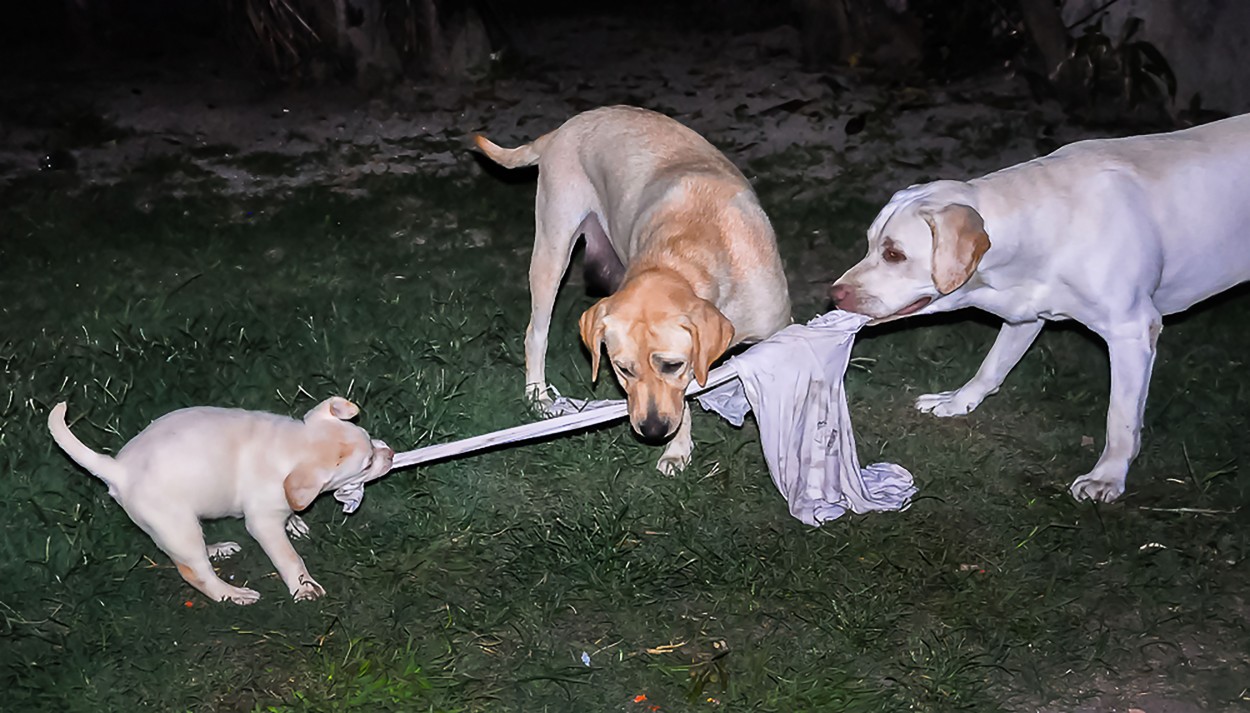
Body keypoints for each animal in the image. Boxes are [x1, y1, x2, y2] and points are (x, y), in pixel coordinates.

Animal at [47, 397, 390, 602]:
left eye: (369, 439)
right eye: (367, 463)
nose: (390, 454)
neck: (292, 445)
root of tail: (118, 470)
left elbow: (292, 512)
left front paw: (295, 522)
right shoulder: (263, 524)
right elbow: (290, 559)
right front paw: (304, 587)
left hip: (183, 527)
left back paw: (217, 549)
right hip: (177, 528)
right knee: (196, 574)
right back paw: (234, 594)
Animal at [477, 105, 790, 472]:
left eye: (672, 365)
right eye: (623, 369)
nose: (652, 430)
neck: (689, 249)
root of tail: (564, 128)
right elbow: (685, 401)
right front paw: (677, 450)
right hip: (552, 251)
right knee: (535, 333)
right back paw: (538, 396)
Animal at [830, 113, 1250, 500]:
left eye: (894, 254)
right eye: (870, 243)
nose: (835, 294)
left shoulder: (1132, 330)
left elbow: (1121, 418)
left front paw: (1108, 476)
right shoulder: (1024, 314)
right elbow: (991, 366)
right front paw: (958, 401)